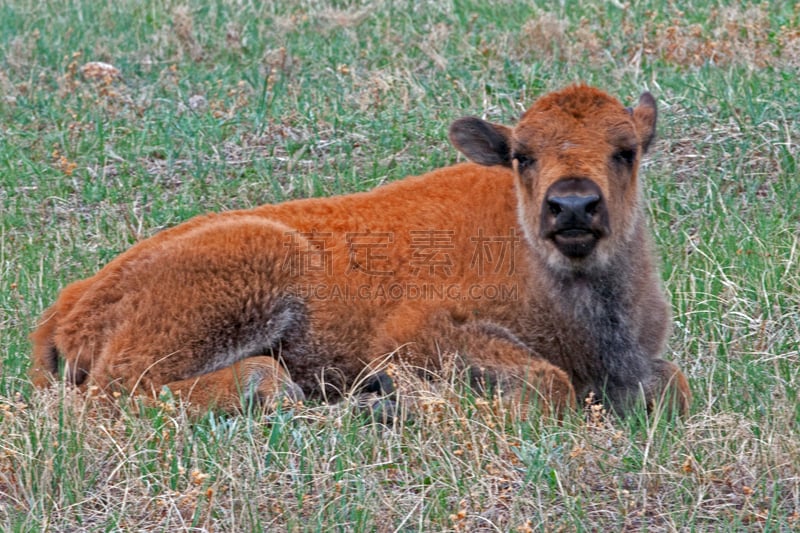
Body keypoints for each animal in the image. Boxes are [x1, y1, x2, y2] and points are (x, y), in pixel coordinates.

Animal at [31, 84, 692, 416]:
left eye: (626, 150)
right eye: (522, 155)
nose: (573, 206)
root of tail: (73, 301)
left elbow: (673, 384)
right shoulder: (416, 335)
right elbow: (549, 384)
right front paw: (397, 399)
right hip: (258, 268)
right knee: (115, 390)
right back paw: (279, 390)